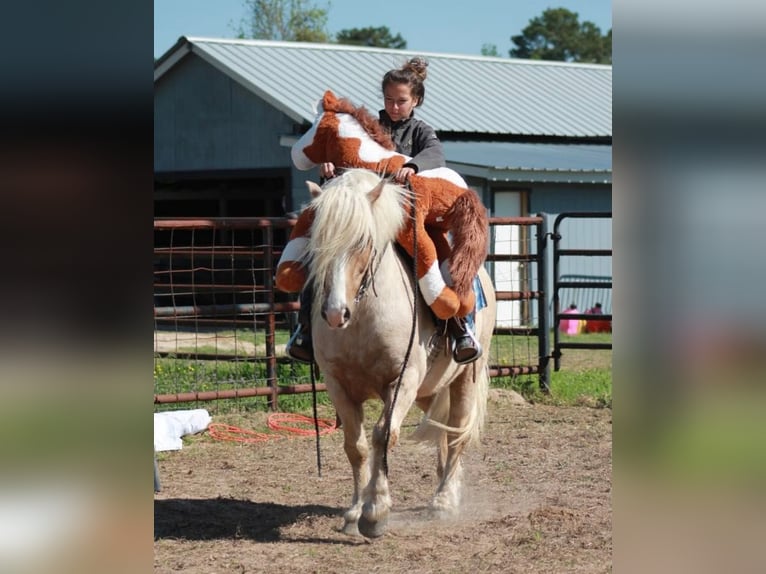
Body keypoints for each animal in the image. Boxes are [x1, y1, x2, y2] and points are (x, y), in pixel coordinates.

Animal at [304, 168, 498, 540]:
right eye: (318, 243)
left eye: (363, 242)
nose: (335, 314)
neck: (362, 319)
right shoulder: (338, 385)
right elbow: (356, 446)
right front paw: (354, 512)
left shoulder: (402, 381)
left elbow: (383, 435)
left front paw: (376, 512)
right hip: (429, 389)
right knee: (440, 433)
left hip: (464, 379)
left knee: (456, 435)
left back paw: (444, 501)